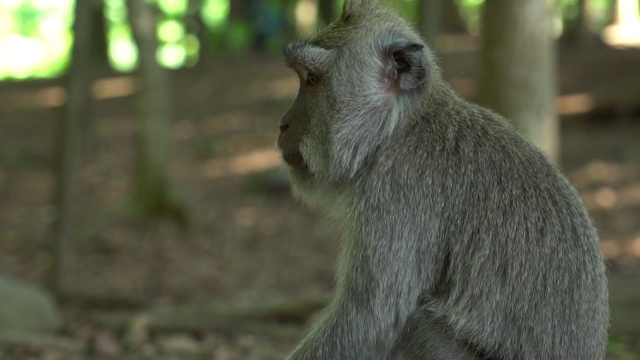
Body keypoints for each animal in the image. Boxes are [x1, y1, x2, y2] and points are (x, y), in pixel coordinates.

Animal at [276, 1, 608, 358]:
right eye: (303, 77)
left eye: (312, 80)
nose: (283, 124)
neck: (399, 129)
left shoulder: (397, 193)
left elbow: (369, 319)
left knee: (416, 326)